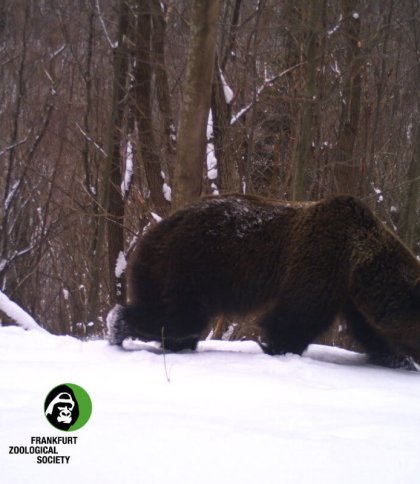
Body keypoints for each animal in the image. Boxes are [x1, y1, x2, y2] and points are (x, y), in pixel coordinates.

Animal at [107, 193, 420, 370]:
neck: (359, 263)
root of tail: (151, 233)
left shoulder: (351, 296)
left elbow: (371, 332)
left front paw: (398, 360)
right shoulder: (320, 261)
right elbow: (295, 317)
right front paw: (277, 348)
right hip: (188, 267)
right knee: (180, 318)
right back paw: (118, 327)